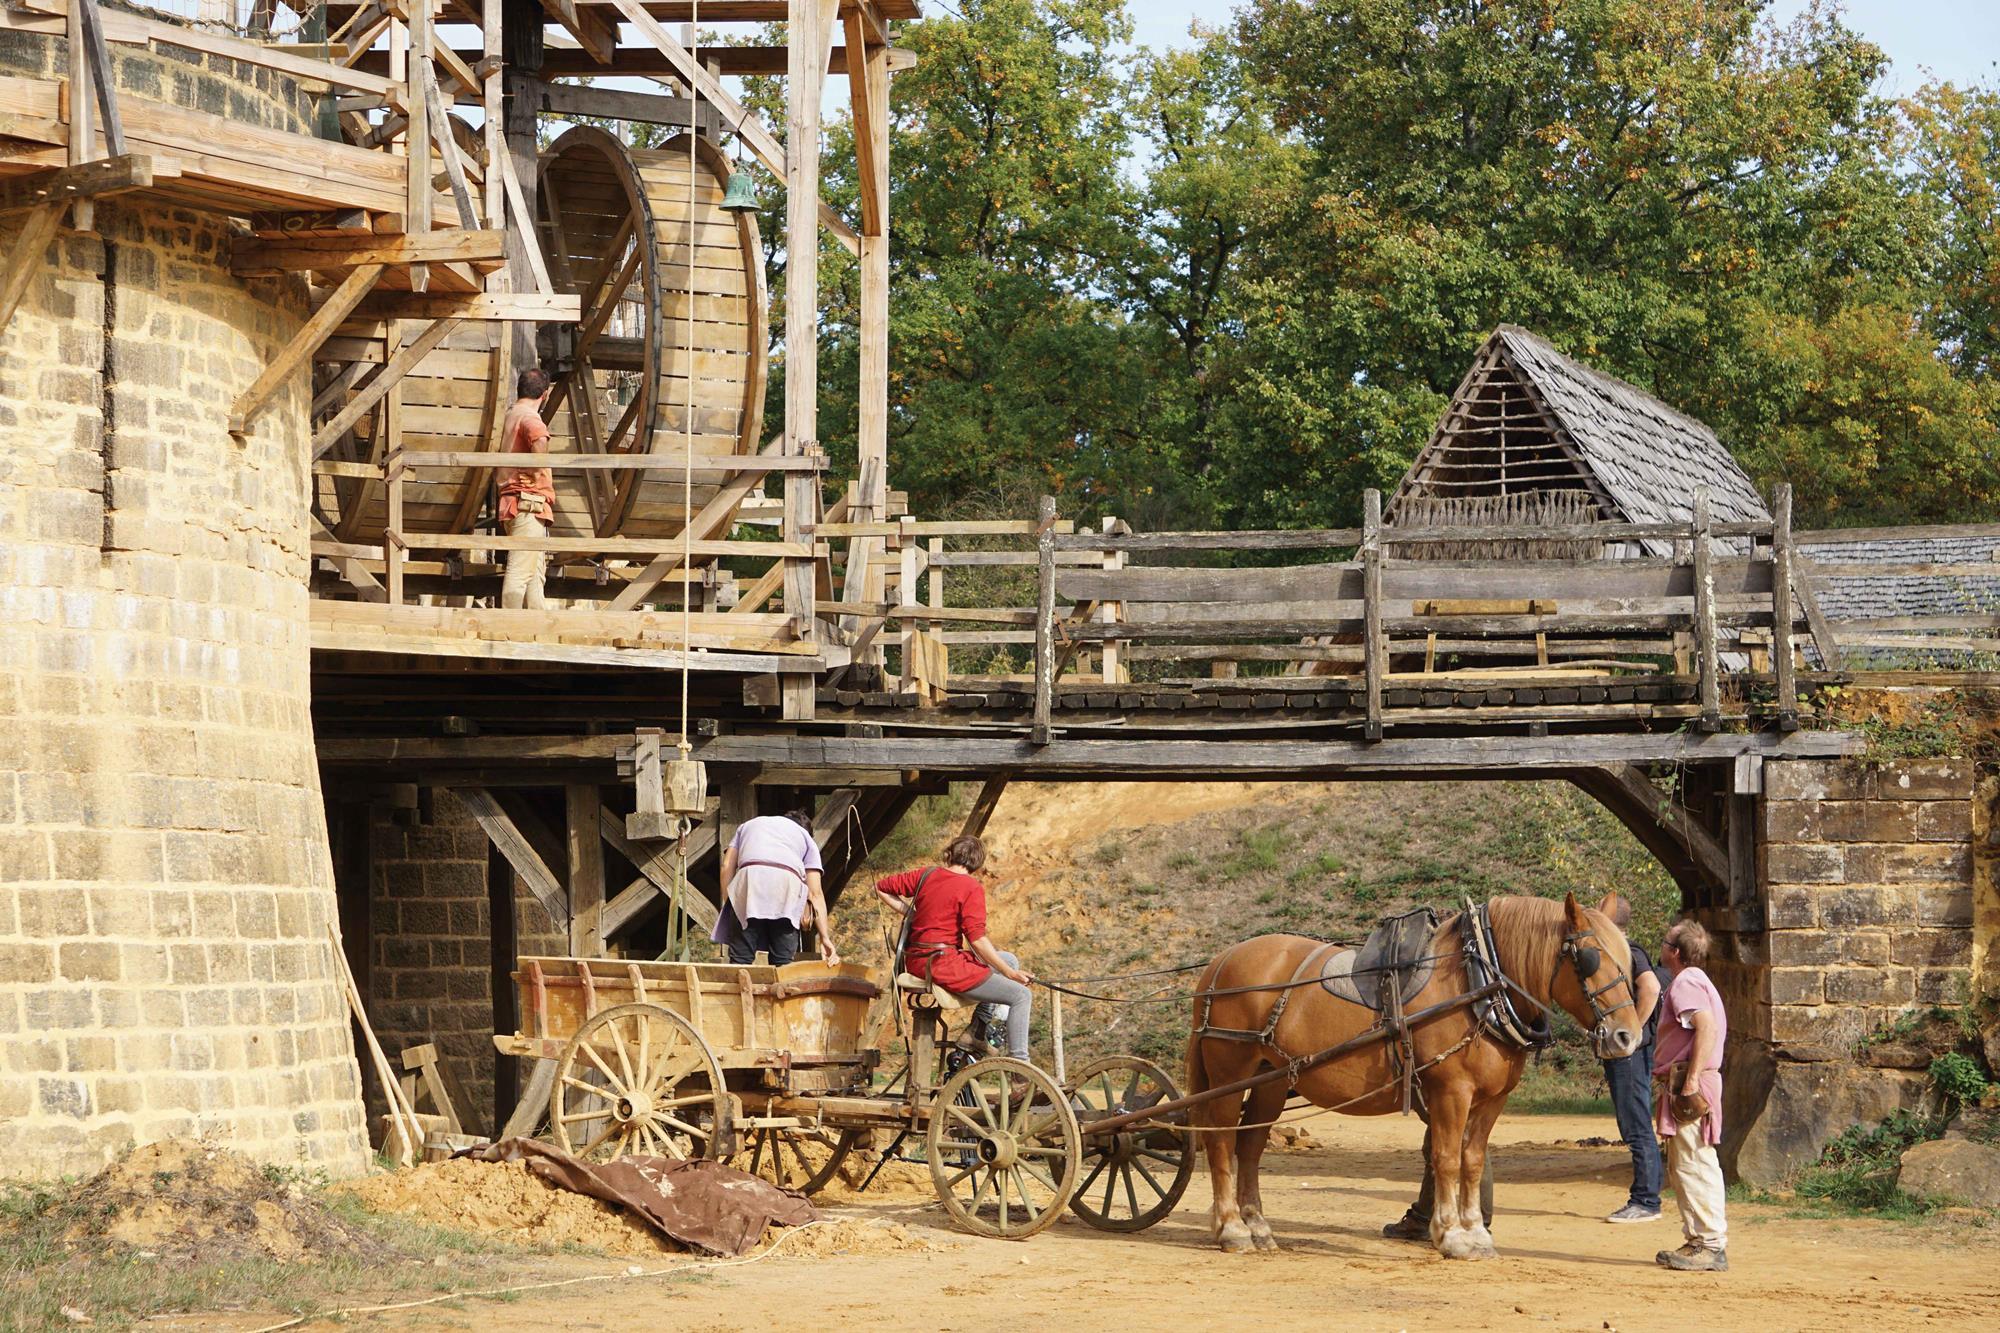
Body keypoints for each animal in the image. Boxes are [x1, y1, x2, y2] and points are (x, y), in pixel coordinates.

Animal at [1184, 892, 1640, 1256]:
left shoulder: (1493, 1099)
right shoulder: (1451, 1092)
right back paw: (1231, 1228)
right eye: (1589, 959)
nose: (1627, 1036)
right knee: (1222, 1142)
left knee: (1250, 1147)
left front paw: (1476, 1232)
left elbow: (1473, 1160)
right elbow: (1446, 1159)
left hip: (1272, 1080)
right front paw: (1451, 1234)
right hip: (1230, 1075)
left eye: (1628, 961)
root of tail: (1220, 961)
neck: (1477, 986)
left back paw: (1257, 1226)